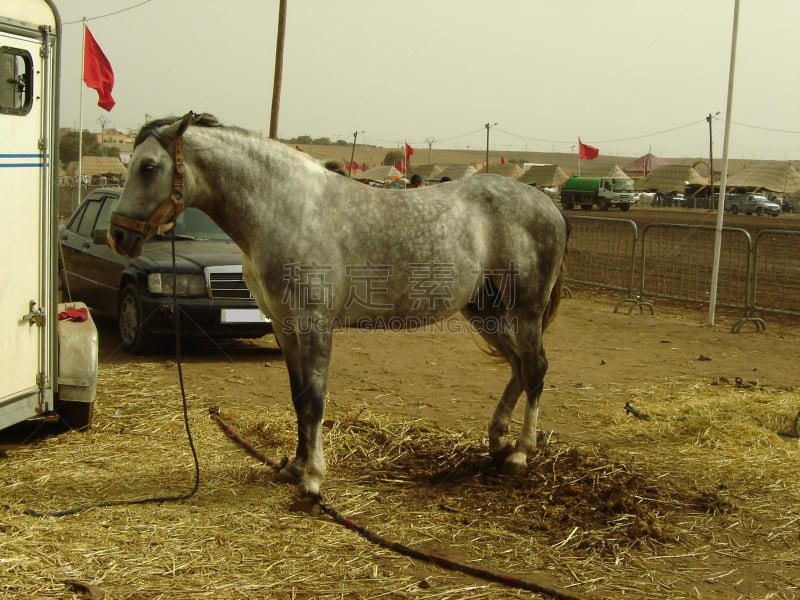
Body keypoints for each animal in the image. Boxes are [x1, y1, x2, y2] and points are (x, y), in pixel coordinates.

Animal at [109, 112, 568, 506]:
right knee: (518, 366)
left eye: (148, 167)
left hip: (525, 309)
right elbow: (298, 397)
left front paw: (313, 480)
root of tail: (550, 207)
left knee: (536, 367)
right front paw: (294, 467)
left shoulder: (314, 324)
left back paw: (520, 454)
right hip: (485, 312)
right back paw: (497, 442)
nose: (117, 236)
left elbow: (315, 398)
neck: (286, 210)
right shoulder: (284, 325)